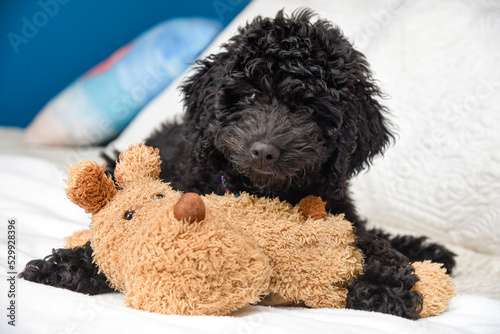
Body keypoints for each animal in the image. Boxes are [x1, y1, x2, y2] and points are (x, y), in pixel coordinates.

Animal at [21, 9, 456, 320]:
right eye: (249, 97)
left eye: (308, 108)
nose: (263, 150)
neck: (262, 192)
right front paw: (64, 267)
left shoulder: (339, 209)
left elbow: (370, 240)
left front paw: (387, 285)